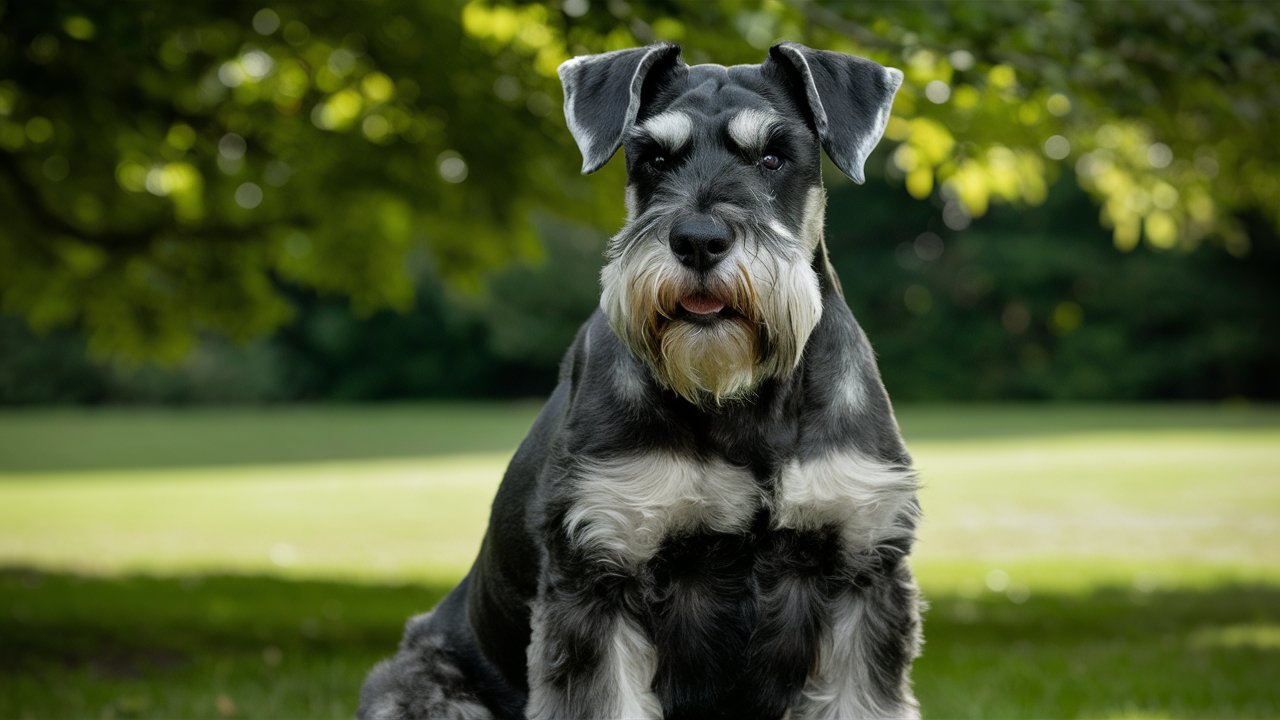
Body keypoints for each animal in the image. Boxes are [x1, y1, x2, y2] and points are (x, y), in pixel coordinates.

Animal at [358, 41, 921, 712]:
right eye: (653, 158)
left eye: (772, 156)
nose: (698, 241)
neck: (739, 401)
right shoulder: (598, 574)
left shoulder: (864, 567)